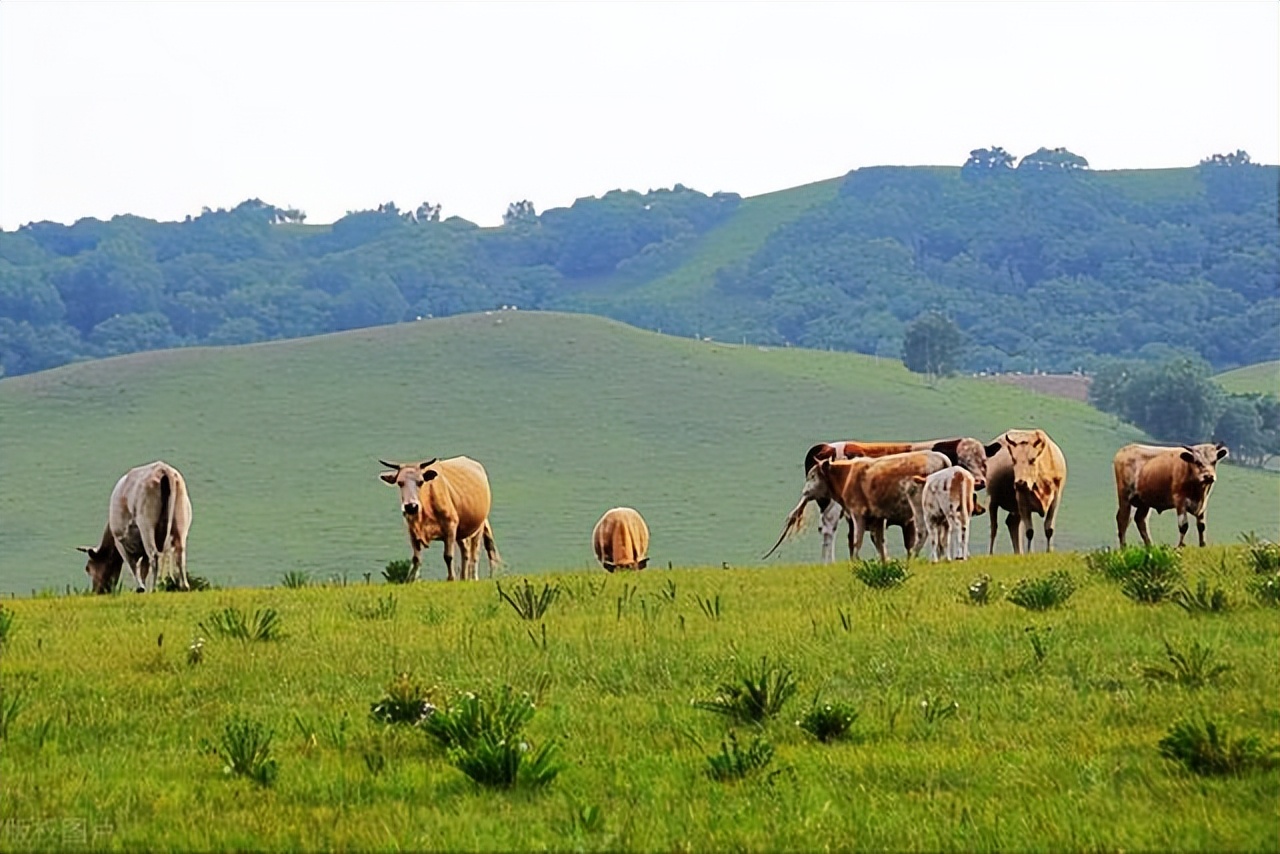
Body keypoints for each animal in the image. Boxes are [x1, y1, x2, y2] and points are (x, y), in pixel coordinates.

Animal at [81, 460, 192, 594]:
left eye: (88, 568)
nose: (96, 591)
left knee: (154, 555)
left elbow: (132, 564)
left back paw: (153, 589)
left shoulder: (120, 540)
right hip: (181, 519)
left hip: (146, 523)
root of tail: (163, 469)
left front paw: (141, 588)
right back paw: (184, 586)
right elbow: (144, 567)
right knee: (180, 552)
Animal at [762, 450, 957, 563]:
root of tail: (943, 461)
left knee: (924, 532)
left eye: (812, 476)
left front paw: (855, 562)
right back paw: (942, 557)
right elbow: (879, 542)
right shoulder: (877, 518)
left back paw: (913, 559)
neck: (846, 475)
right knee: (944, 531)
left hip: (919, 508)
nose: (804, 492)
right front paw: (884, 561)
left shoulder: (858, 513)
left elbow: (857, 540)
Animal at [798, 437, 988, 563]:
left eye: (984, 462)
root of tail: (826, 446)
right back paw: (829, 563)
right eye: (964, 460)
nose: (980, 481)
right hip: (833, 508)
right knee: (829, 530)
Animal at [983, 430, 1064, 558]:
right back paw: (991, 554)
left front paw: (1049, 551)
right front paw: (1030, 553)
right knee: (994, 528)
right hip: (993, 499)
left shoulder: (1055, 499)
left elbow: (1049, 529)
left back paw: (1018, 553)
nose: (1020, 482)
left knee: (1012, 523)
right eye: (1014, 460)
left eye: (1032, 459)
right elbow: (1029, 531)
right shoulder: (1023, 502)